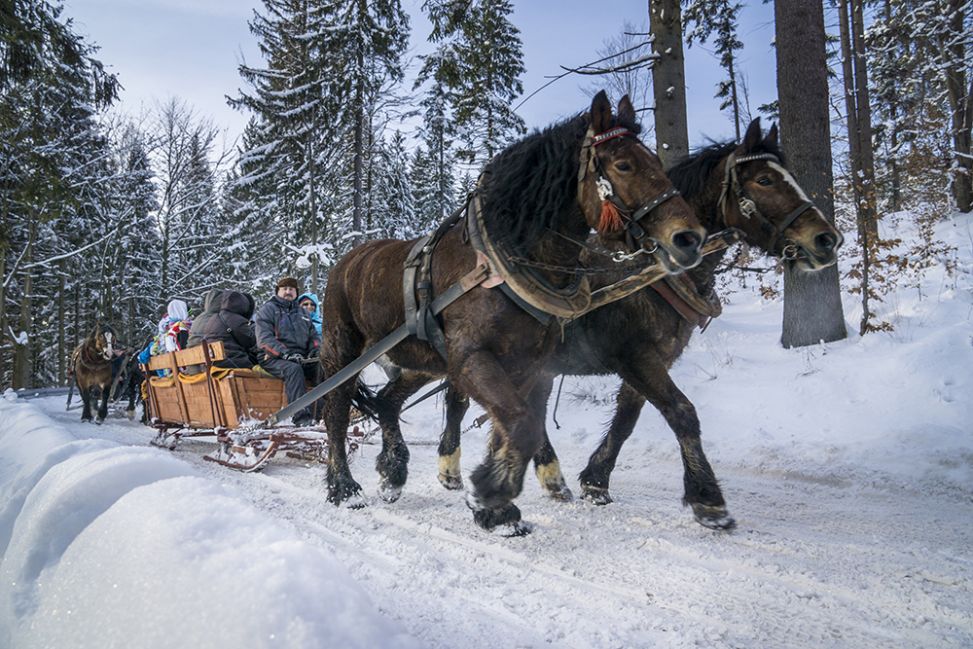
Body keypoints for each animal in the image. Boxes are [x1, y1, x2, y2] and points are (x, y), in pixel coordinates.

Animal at [318, 92, 708, 536]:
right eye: (624, 164)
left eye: (657, 162)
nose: (689, 238)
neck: (502, 263)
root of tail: (346, 258)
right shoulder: (473, 359)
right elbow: (520, 425)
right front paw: (492, 494)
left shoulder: (528, 365)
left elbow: (512, 427)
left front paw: (494, 505)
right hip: (340, 349)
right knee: (335, 411)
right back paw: (344, 488)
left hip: (419, 361)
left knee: (387, 402)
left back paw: (393, 472)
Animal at [432, 119, 844, 528]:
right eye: (764, 180)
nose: (827, 239)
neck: (654, 273)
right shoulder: (635, 358)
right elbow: (682, 413)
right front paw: (708, 499)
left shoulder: (651, 360)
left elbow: (627, 420)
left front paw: (596, 480)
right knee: (460, 400)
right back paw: (451, 470)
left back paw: (551, 478)